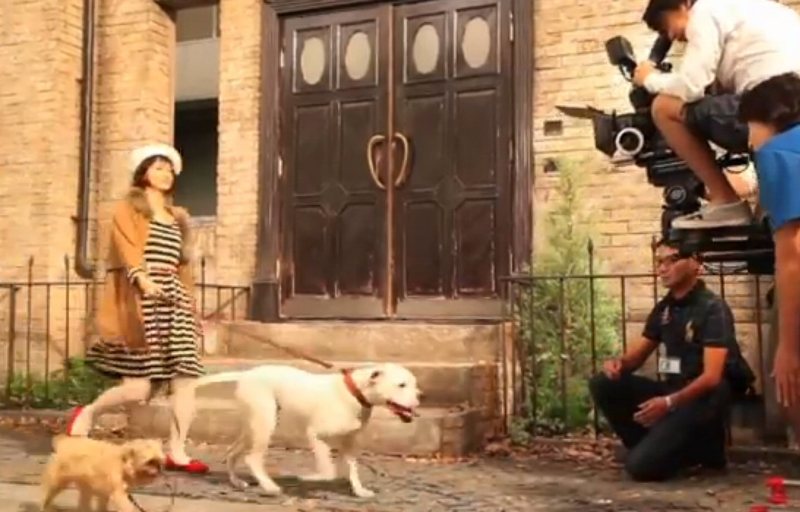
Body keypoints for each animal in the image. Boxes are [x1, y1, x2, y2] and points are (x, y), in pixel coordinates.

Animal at [192, 362, 421, 498]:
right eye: (401, 385)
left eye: (414, 384)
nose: (420, 398)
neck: (354, 393)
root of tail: (247, 374)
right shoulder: (316, 435)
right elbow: (328, 470)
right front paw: (309, 478)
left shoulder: (349, 443)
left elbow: (353, 469)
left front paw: (359, 491)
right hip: (265, 423)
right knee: (252, 458)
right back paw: (269, 486)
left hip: (253, 426)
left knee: (232, 452)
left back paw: (237, 482)